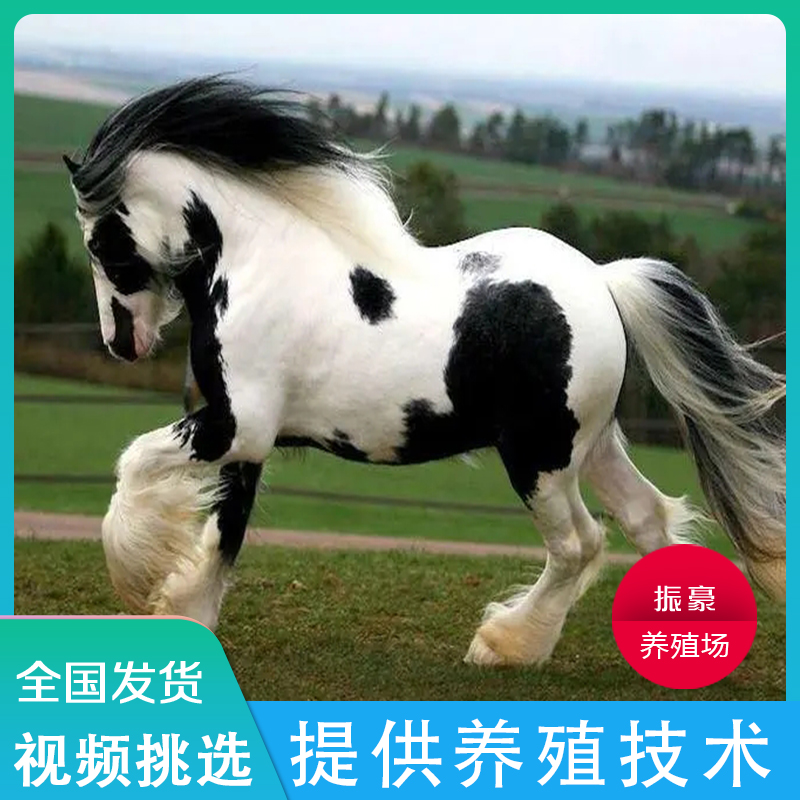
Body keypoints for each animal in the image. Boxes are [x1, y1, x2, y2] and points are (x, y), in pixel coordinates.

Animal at [65, 77, 785, 666]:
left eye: (99, 242)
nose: (120, 343)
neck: (256, 265)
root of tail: (605, 283)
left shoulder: (233, 427)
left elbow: (135, 464)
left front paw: (134, 574)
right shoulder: (248, 440)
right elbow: (223, 534)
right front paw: (187, 614)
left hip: (540, 460)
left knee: (580, 545)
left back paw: (503, 644)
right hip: (594, 445)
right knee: (647, 519)